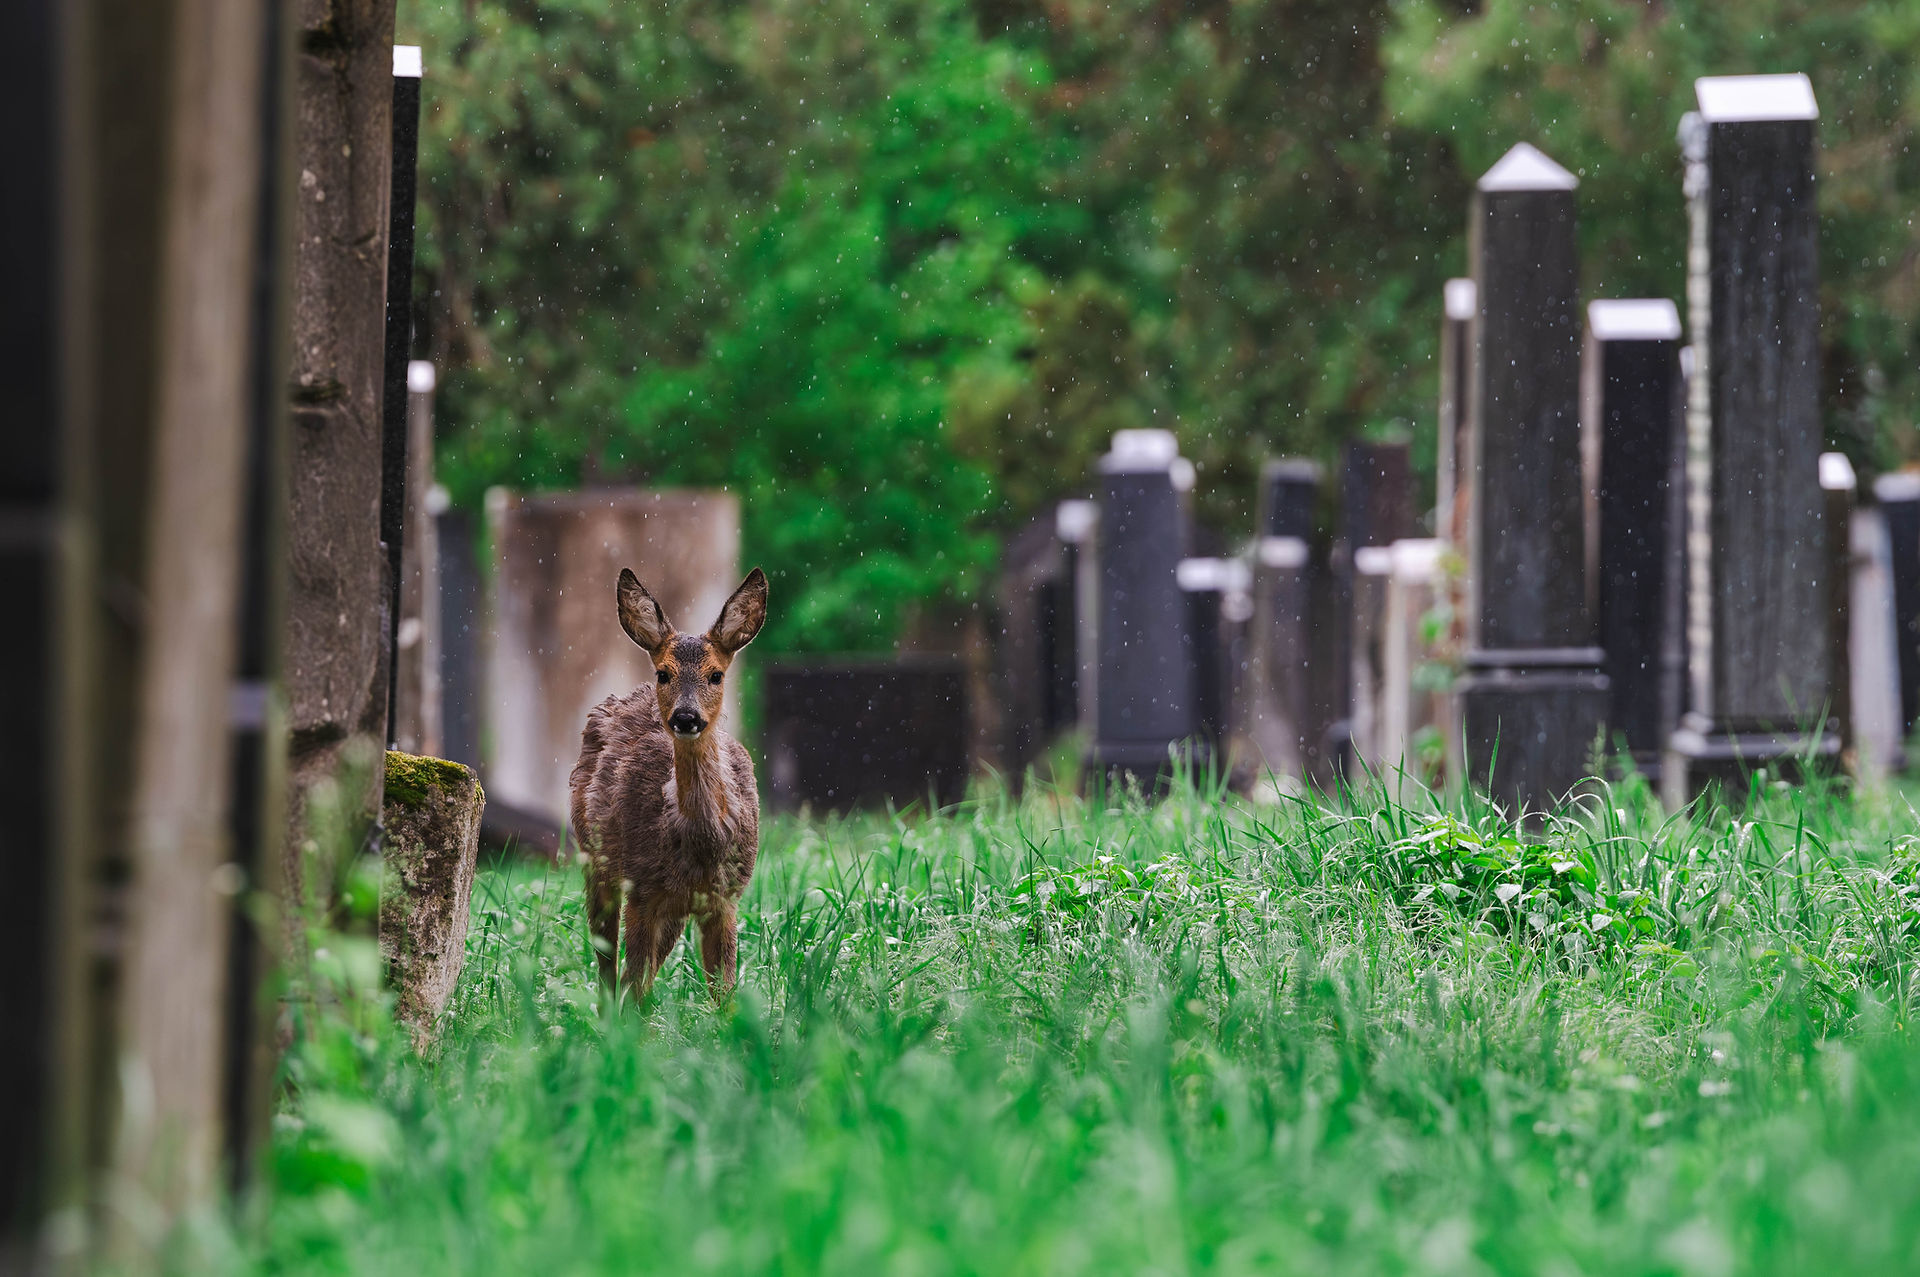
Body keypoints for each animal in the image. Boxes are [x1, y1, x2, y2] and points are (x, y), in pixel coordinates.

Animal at [570, 566, 768, 1001]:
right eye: (664, 673)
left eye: (716, 675)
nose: (686, 717)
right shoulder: (642, 889)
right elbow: (636, 985)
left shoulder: (725, 900)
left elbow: (724, 993)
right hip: (595, 860)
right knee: (608, 963)